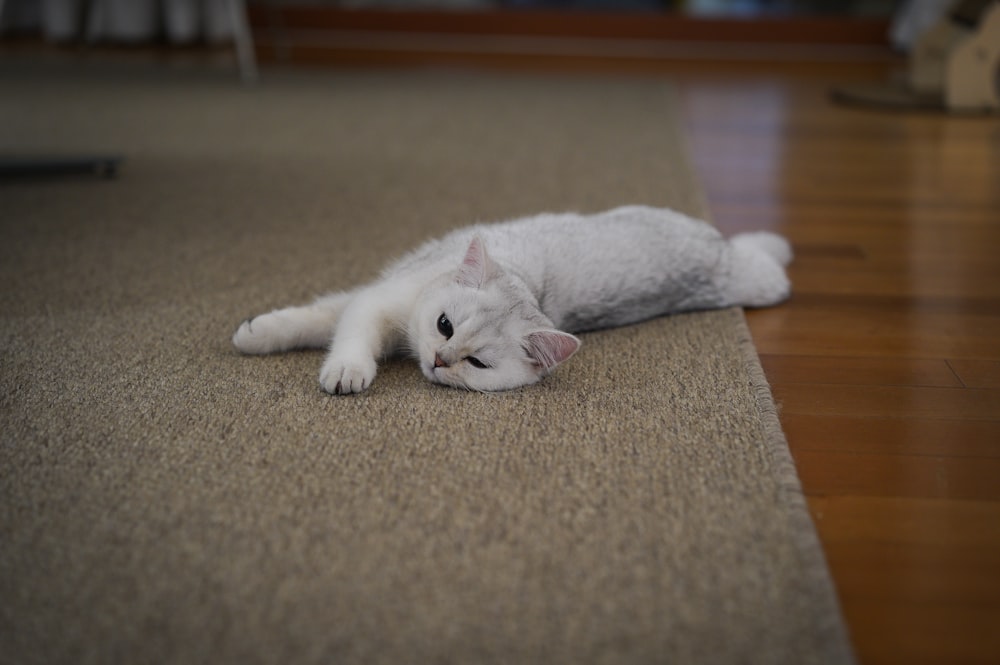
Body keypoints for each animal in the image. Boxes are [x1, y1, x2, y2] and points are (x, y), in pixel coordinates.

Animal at [232, 205, 788, 392]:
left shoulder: (375, 302)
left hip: (753, 279)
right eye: (444, 325)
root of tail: (716, 246)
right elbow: (328, 319)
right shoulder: (379, 299)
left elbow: (334, 321)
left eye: (476, 363)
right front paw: (259, 334)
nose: (439, 359)